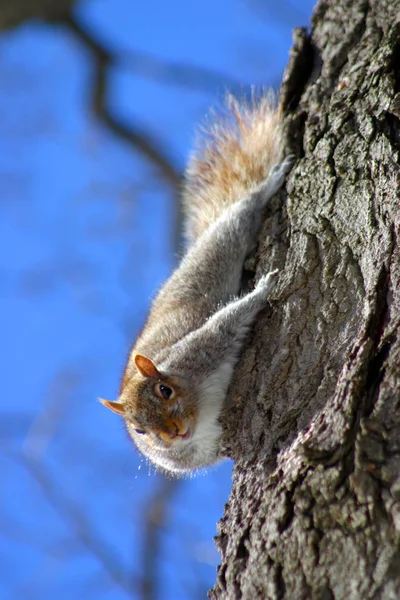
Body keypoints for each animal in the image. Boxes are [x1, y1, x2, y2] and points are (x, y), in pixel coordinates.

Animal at [100, 95, 294, 478]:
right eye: (139, 430)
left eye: (165, 390)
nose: (173, 434)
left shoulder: (202, 349)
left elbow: (226, 322)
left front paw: (263, 290)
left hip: (215, 252)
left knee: (237, 218)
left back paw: (269, 184)